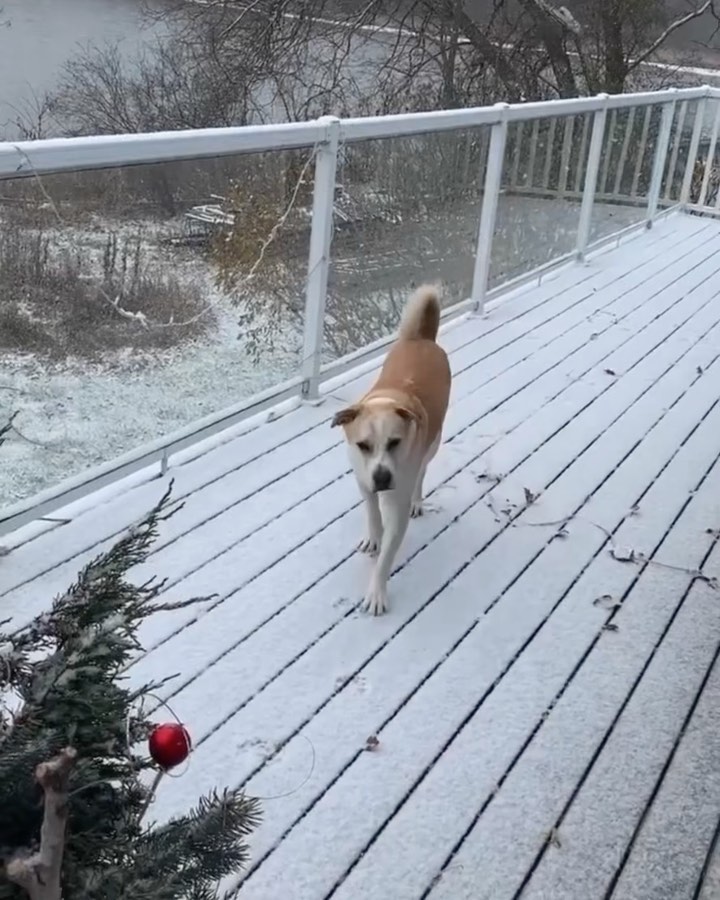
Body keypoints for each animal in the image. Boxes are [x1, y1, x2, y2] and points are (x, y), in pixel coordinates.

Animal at [330, 284, 450, 616]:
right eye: (362, 445)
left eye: (395, 442)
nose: (383, 478)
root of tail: (422, 339)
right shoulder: (362, 478)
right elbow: (371, 511)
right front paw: (374, 536)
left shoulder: (397, 499)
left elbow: (386, 557)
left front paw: (376, 593)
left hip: (432, 444)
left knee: (422, 472)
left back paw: (417, 500)